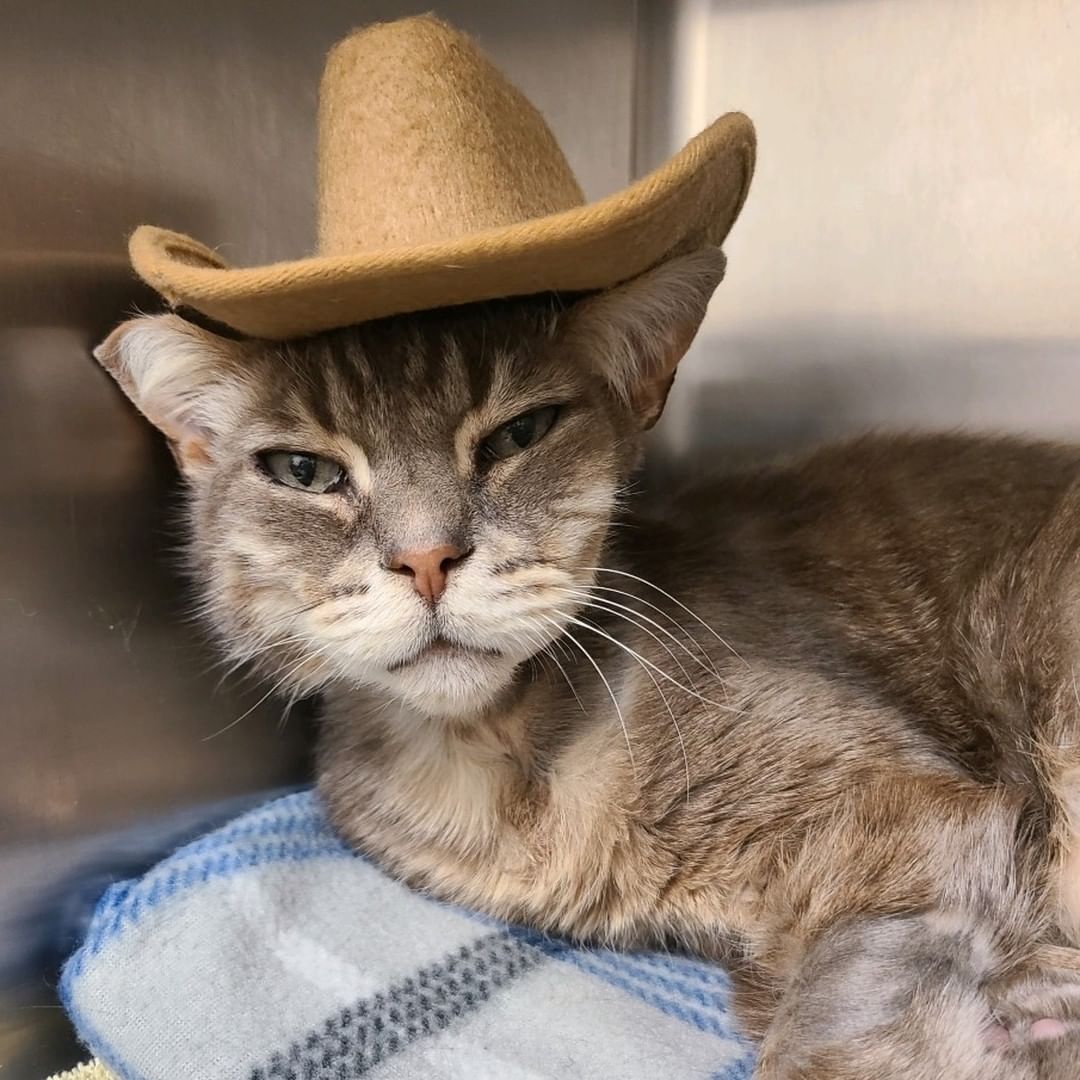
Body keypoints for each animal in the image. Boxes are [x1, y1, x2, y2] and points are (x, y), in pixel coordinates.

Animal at [95, 248, 1080, 1075]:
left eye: (517, 434)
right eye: (303, 472)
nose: (426, 558)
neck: (497, 763)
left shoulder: (907, 814)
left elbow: (833, 1029)